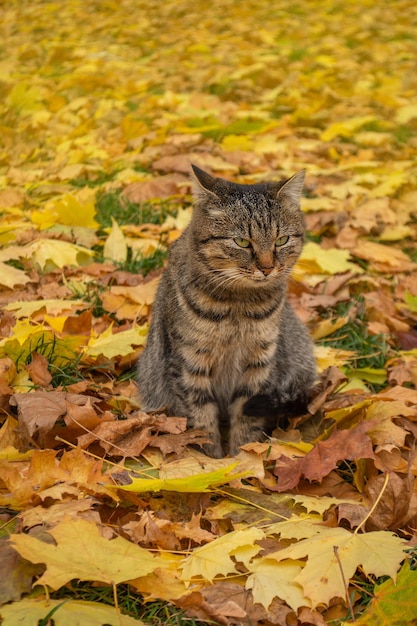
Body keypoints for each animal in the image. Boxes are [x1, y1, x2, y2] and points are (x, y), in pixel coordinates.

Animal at [136, 165, 316, 458]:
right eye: (242, 242)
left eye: (281, 240)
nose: (267, 268)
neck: (239, 305)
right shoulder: (189, 362)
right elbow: (201, 421)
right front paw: (214, 460)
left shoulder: (259, 362)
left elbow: (247, 419)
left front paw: (244, 457)